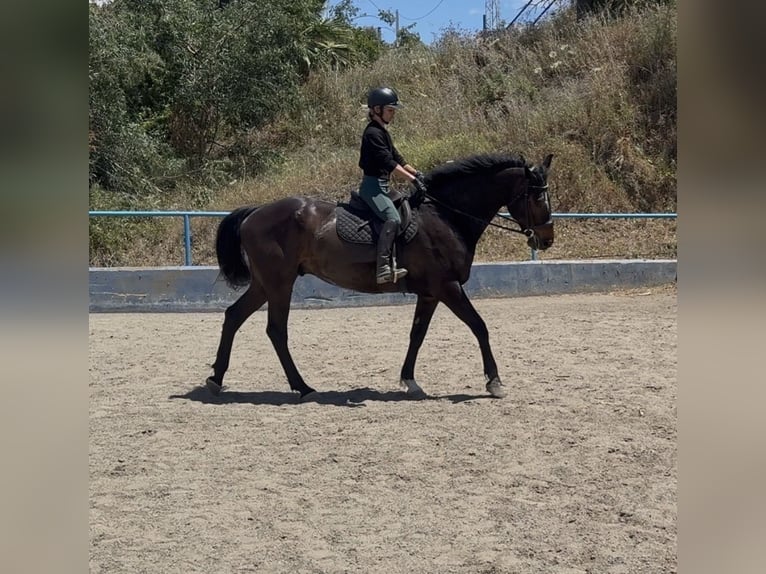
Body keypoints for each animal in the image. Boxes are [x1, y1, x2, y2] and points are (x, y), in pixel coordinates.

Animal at [206, 152, 554, 400]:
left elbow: (417, 334)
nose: (547, 239)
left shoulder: (430, 293)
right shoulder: (448, 287)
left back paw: (215, 379)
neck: (446, 216)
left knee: (233, 316)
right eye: (537, 197)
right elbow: (479, 326)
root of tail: (254, 213)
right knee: (276, 330)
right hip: (280, 283)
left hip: (264, 284)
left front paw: (409, 381)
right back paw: (302, 387)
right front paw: (494, 382)